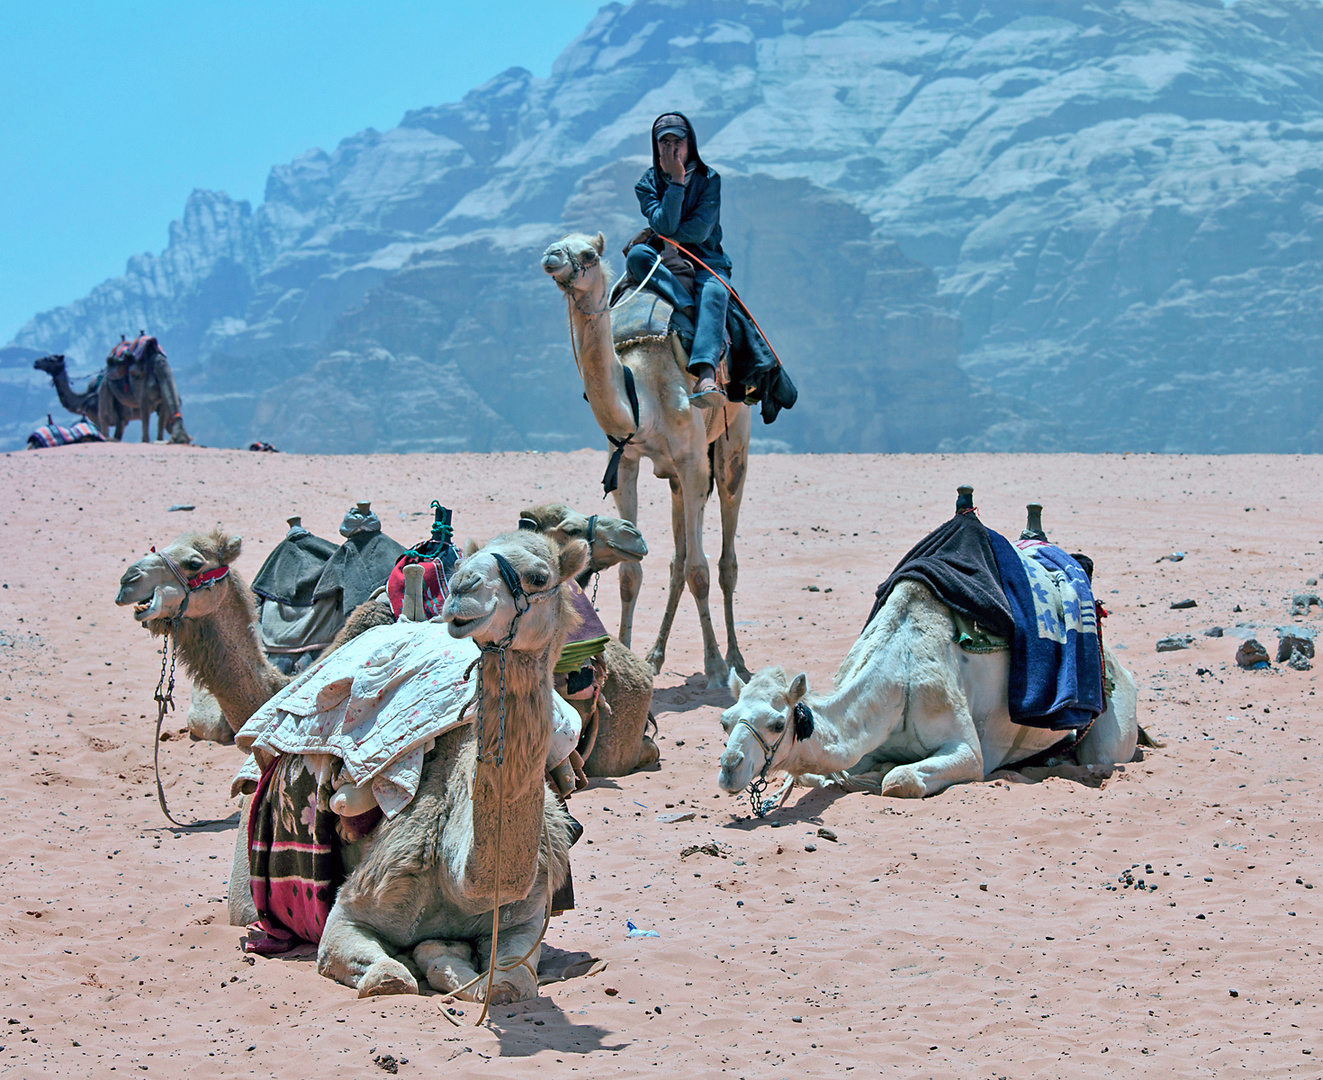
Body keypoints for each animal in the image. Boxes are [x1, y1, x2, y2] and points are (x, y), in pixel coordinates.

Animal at [116, 526, 582, 1000]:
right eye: (467, 565)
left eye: (539, 576)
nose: (129, 580)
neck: (464, 880)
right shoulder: (348, 913)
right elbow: (389, 978)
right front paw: (433, 960)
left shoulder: (527, 919)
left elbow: (509, 984)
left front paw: (450, 960)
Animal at [539, 235, 751, 693]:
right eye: (555, 243)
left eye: (589, 254)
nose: (551, 256)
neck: (642, 395)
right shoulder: (626, 463)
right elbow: (630, 574)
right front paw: (628, 658)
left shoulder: (693, 461)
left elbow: (700, 571)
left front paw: (715, 668)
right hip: (673, 477)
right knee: (677, 559)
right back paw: (656, 655)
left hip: (733, 440)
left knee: (724, 557)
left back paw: (736, 661)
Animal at [714, 582, 1137, 799]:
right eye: (724, 721)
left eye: (776, 723)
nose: (729, 769)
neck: (896, 679)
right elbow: (818, 774)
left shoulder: (966, 749)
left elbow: (898, 780)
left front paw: (885, 776)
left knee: (1101, 754)